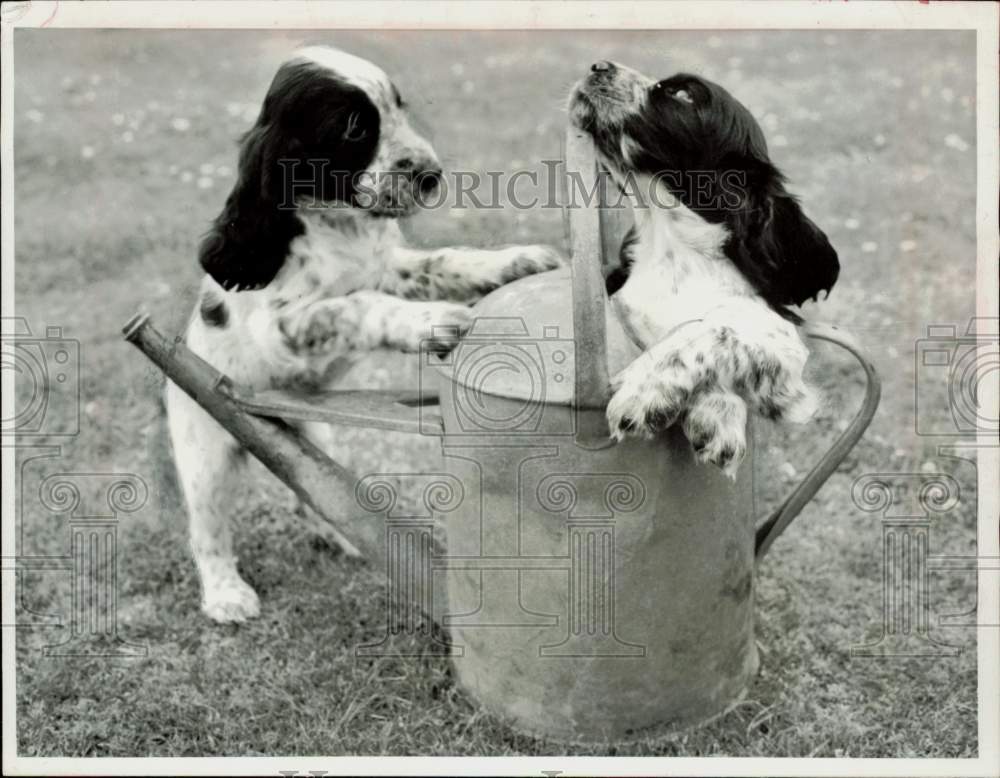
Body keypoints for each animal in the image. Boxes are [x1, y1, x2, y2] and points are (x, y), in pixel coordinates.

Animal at [168, 45, 568, 620]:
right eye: (354, 128)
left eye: (399, 108)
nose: (431, 174)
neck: (338, 227)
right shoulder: (282, 328)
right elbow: (358, 305)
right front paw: (433, 324)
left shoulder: (389, 266)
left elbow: (442, 262)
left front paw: (516, 261)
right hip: (205, 448)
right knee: (208, 529)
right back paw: (226, 594)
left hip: (313, 433)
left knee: (312, 486)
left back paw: (342, 535)